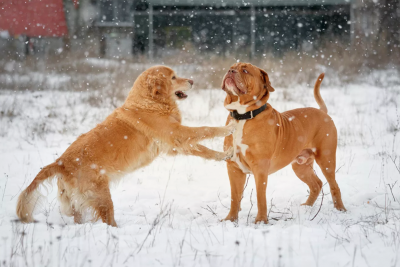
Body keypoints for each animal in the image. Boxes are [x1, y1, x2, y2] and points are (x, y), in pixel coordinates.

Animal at [220, 62, 346, 224]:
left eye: (245, 70)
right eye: (232, 66)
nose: (230, 71)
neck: (243, 116)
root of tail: (322, 112)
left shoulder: (260, 168)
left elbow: (260, 196)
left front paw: (261, 221)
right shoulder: (233, 167)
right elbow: (234, 197)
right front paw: (230, 219)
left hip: (326, 159)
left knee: (334, 185)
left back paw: (340, 209)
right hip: (300, 166)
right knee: (316, 184)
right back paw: (307, 207)